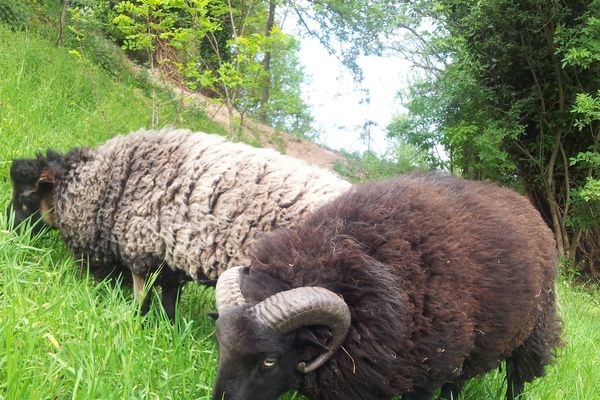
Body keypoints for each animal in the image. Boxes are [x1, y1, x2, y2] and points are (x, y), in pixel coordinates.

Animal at [211, 173, 564, 400]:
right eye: (221, 346)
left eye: (268, 361)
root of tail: (527, 206)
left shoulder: (425, 376)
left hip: (534, 330)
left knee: (517, 380)